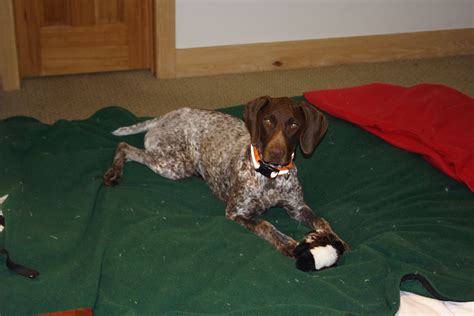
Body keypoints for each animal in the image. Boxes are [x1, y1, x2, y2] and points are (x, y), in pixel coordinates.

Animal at [103, 97, 348, 272]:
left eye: (293, 124)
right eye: (268, 120)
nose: (276, 153)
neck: (271, 177)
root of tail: (167, 115)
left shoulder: (297, 208)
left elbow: (321, 220)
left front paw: (335, 239)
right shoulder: (236, 212)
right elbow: (265, 225)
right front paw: (288, 243)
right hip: (175, 165)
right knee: (124, 146)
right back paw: (114, 173)